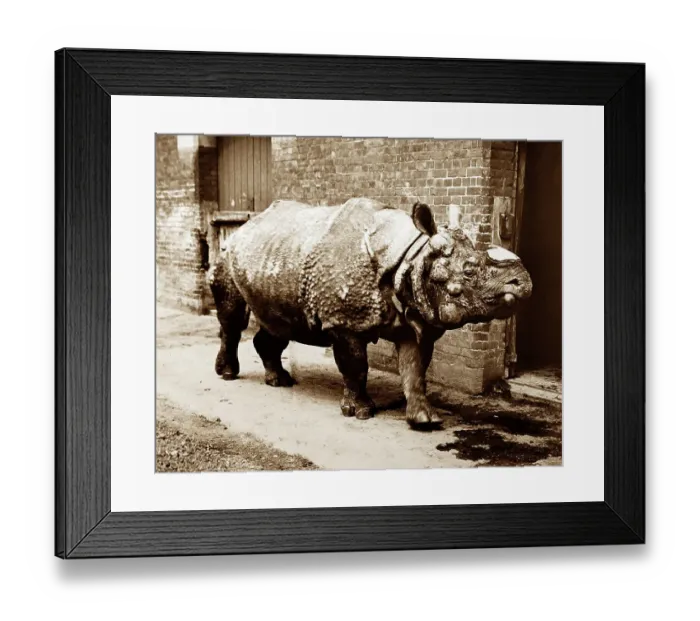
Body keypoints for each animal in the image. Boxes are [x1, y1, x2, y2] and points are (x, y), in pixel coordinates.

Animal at [208, 198, 532, 429]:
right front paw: (361, 412)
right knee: (233, 318)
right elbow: (356, 366)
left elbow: (415, 370)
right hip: (227, 252)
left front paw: (425, 420)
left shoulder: (413, 318)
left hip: (275, 258)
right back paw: (229, 375)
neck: (411, 255)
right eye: (469, 272)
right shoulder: (343, 323)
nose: (523, 282)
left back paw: (280, 381)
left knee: (280, 324)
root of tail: (244, 226)